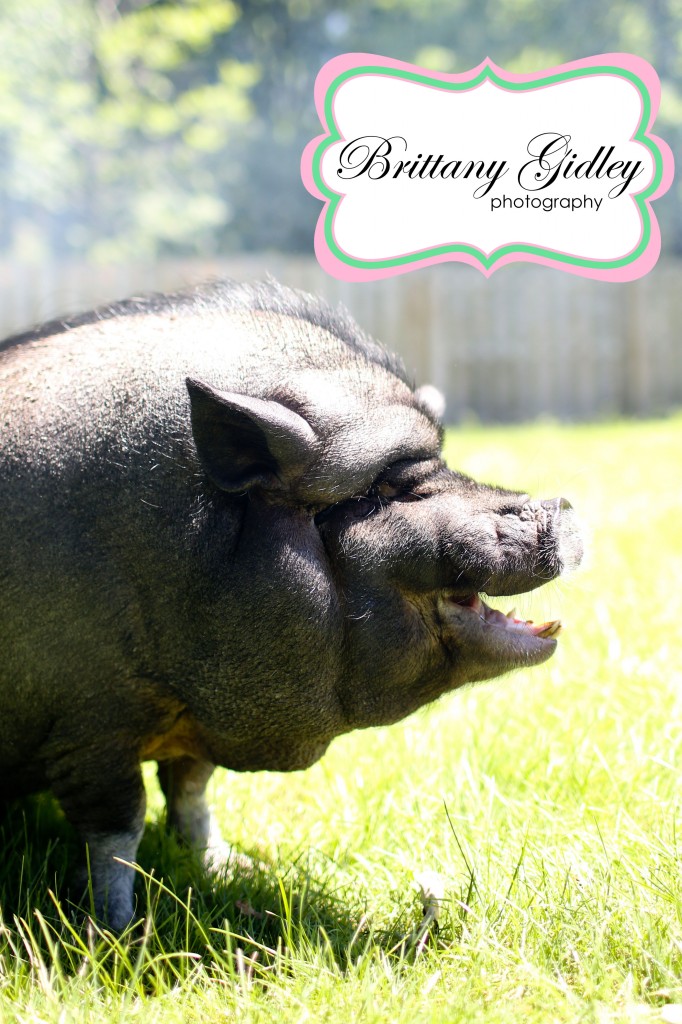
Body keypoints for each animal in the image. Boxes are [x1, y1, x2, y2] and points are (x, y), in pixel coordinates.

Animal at [0, 279, 581, 929]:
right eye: (381, 490)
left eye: (442, 467)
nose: (561, 507)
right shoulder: (91, 726)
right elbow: (118, 832)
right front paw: (120, 930)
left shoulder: (198, 720)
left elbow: (192, 793)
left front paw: (228, 866)